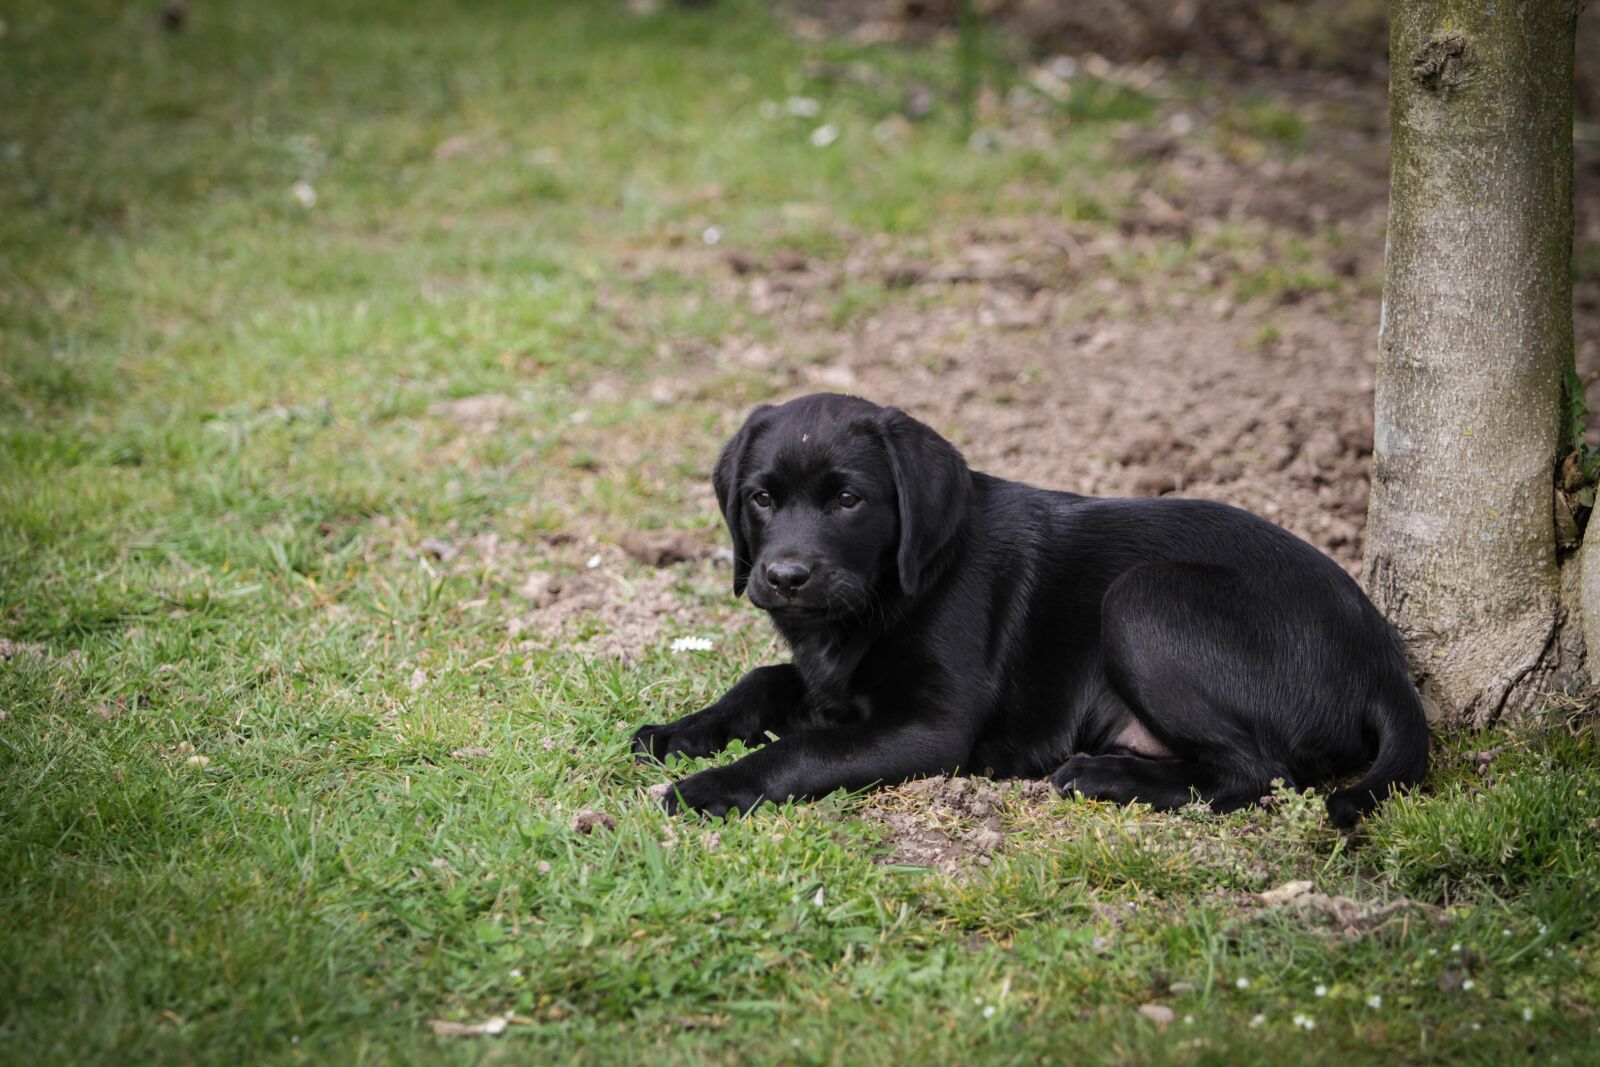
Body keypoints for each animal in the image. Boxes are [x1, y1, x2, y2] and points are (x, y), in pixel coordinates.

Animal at [630, 391, 1433, 825]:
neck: (891, 590)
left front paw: (712, 785)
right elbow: (762, 679)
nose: (785, 575)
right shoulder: (831, 681)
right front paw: (680, 732)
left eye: (849, 500)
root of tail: (1384, 663)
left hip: (1143, 600)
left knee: (1256, 772)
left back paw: (1104, 777)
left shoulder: (929, 729)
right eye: (762, 498)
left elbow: (799, 750)